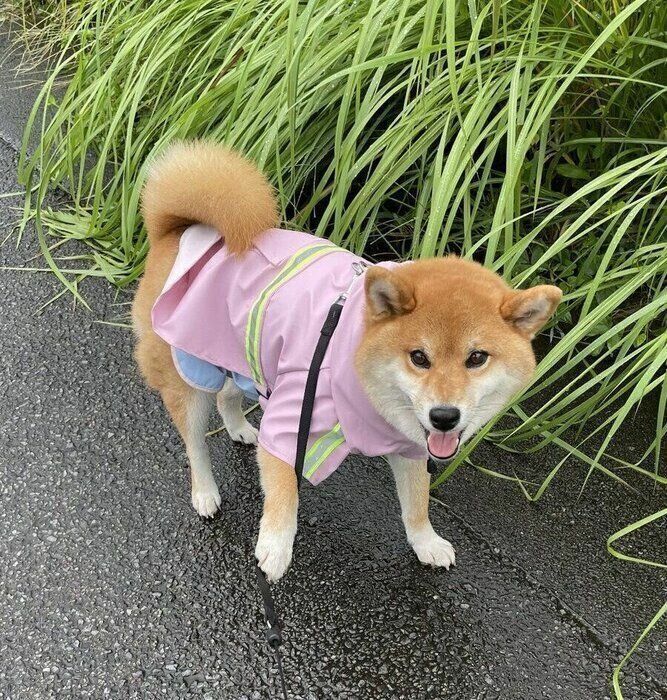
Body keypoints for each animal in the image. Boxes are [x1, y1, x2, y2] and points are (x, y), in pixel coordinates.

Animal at [132, 141, 564, 580]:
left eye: (476, 358)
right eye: (419, 357)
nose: (444, 417)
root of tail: (178, 231)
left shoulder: (411, 445)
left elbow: (417, 504)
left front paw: (426, 542)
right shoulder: (291, 422)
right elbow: (284, 494)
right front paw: (275, 547)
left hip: (243, 362)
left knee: (227, 397)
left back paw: (239, 429)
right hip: (188, 374)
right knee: (195, 443)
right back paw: (205, 492)